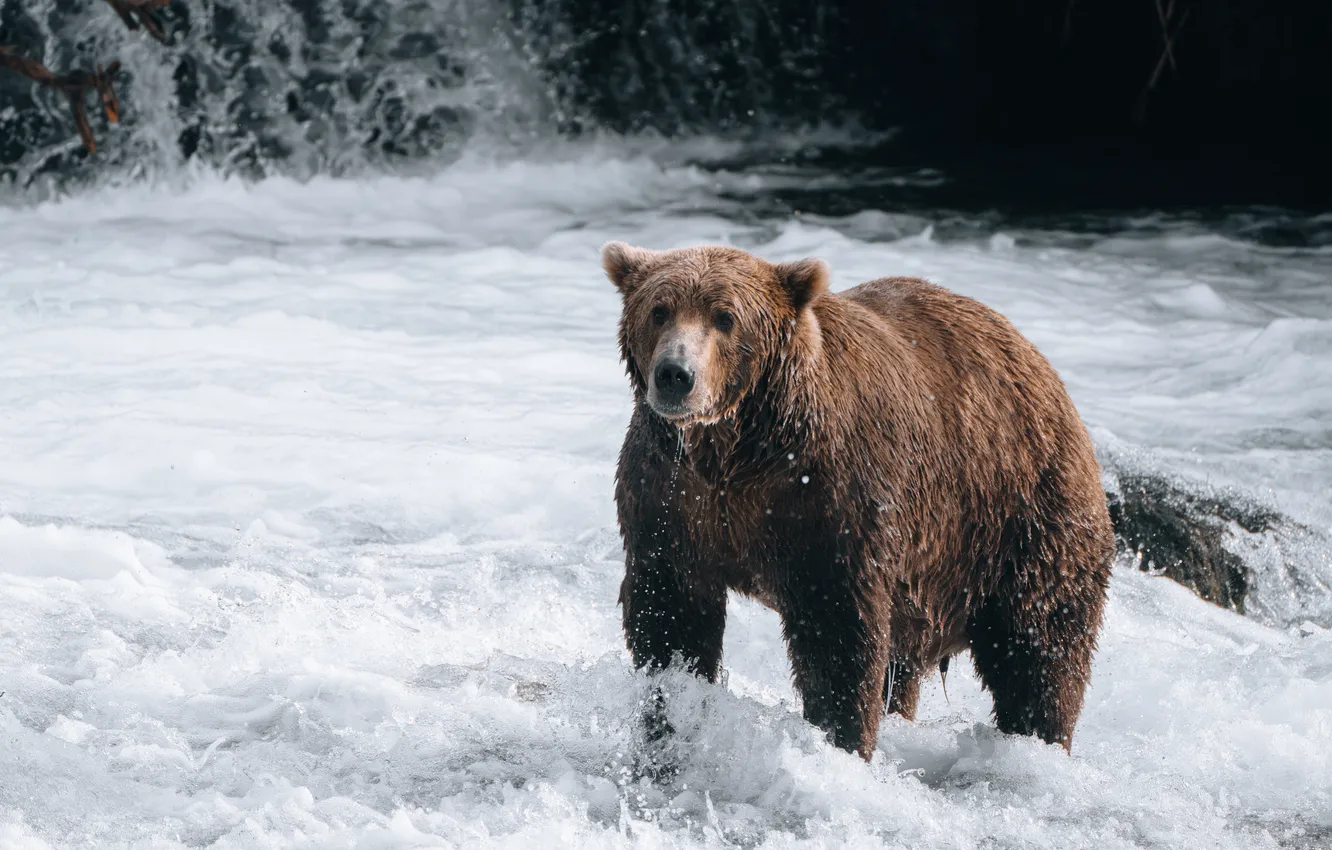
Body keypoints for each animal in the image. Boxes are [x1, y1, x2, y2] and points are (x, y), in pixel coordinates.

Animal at [602, 241, 1115, 759]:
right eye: (659, 309)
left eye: (725, 317)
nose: (675, 374)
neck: (738, 449)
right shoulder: (670, 496)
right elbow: (671, 616)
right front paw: (668, 714)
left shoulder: (828, 498)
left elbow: (838, 635)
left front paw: (839, 737)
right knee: (908, 660)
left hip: (1018, 516)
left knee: (1038, 647)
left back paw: (1036, 742)